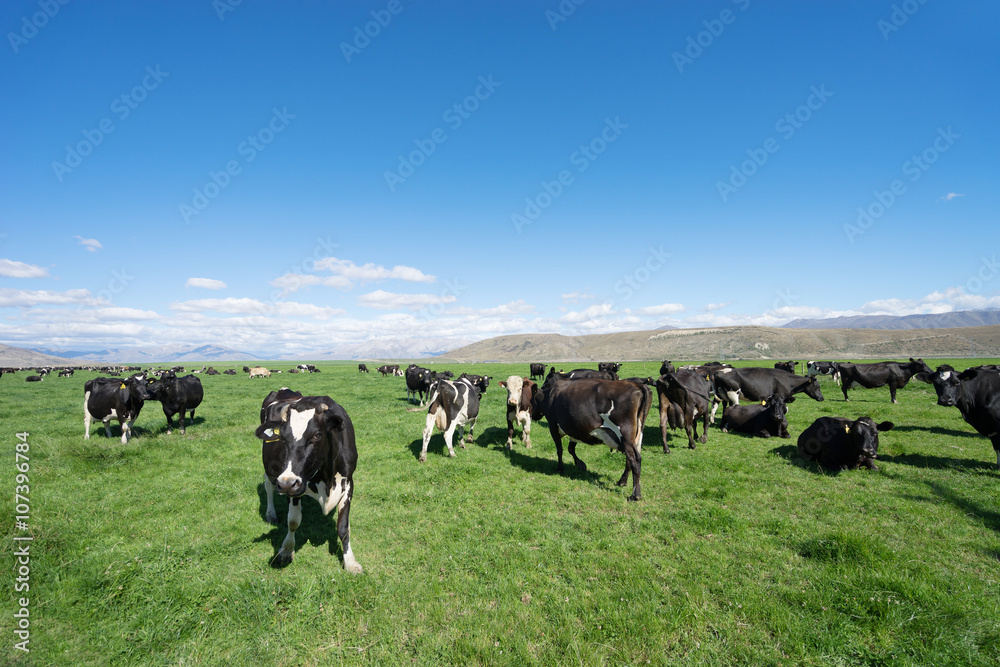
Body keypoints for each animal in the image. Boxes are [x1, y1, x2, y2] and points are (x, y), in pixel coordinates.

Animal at [256, 392, 362, 576]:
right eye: (283, 438)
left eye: (316, 435)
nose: (286, 484)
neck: (327, 477)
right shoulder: (293, 485)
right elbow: (293, 521)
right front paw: (286, 550)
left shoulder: (348, 483)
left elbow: (343, 527)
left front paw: (350, 562)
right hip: (271, 469)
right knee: (268, 486)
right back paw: (271, 514)